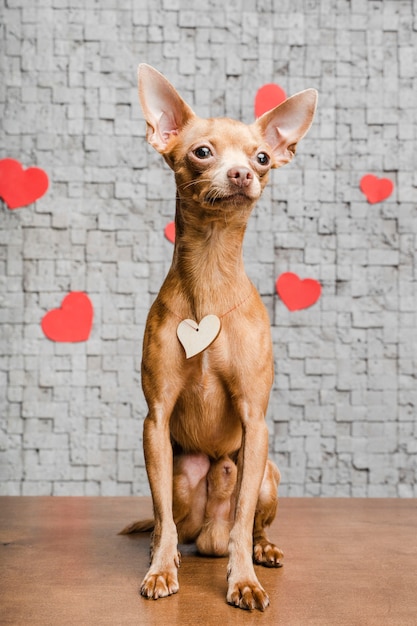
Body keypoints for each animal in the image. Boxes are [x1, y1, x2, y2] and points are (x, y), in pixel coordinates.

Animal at [119, 64, 316, 608]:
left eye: (262, 157)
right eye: (202, 152)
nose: (243, 173)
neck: (209, 273)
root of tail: (206, 533)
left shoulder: (255, 422)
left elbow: (243, 520)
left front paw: (243, 579)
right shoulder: (156, 420)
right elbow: (162, 517)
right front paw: (161, 569)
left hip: (266, 472)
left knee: (245, 523)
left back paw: (261, 549)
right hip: (183, 474)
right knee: (173, 521)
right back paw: (165, 550)